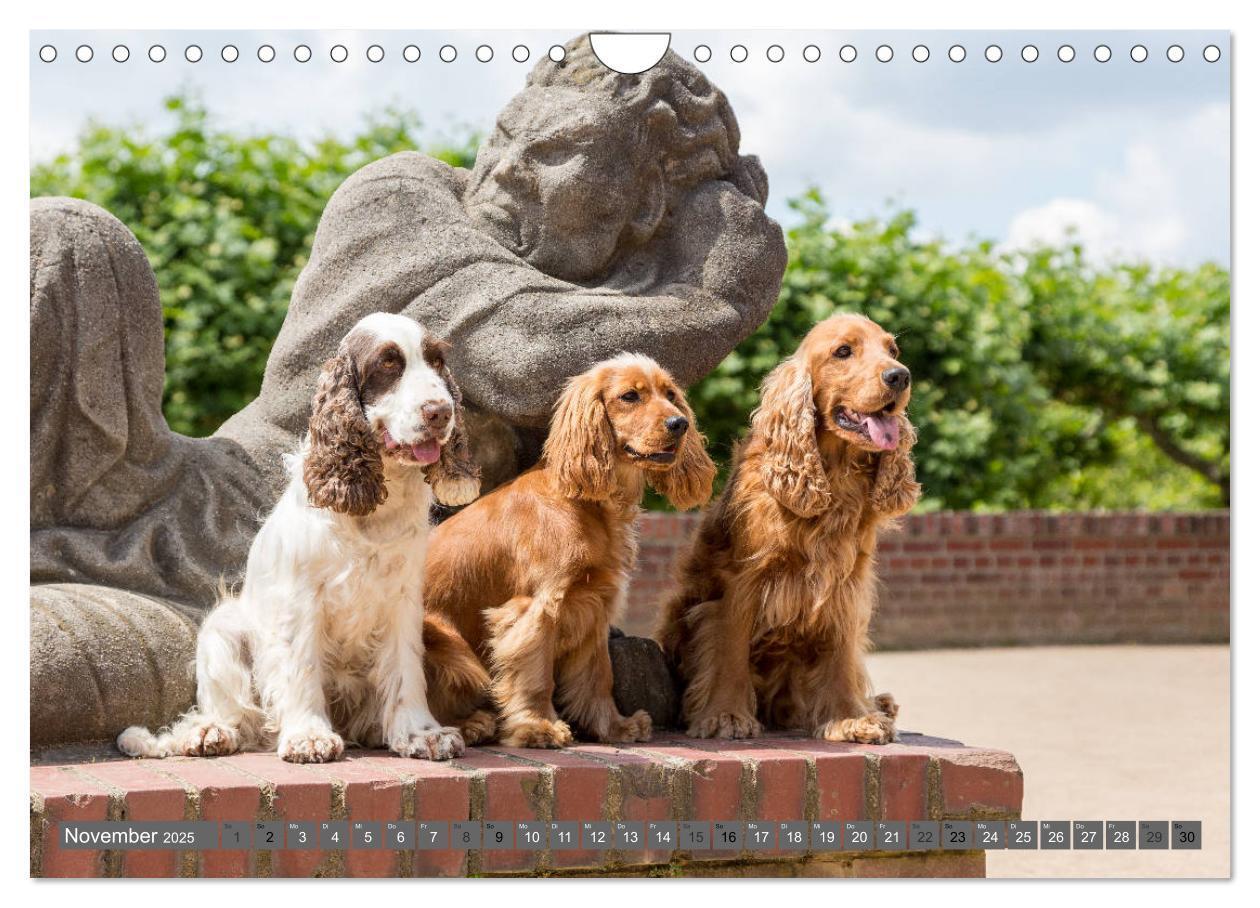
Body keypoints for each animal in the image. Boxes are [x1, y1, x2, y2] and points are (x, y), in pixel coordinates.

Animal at [118, 312, 488, 755]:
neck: (373, 508)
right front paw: (308, 735)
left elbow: (405, 669)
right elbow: (302, 666)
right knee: (236, 715)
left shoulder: (403, 597)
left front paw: (421, 734)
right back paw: (210, 733)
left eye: (436, 362)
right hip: (223, 629)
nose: (441, 412)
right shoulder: (301, 597)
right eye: (388, 364)